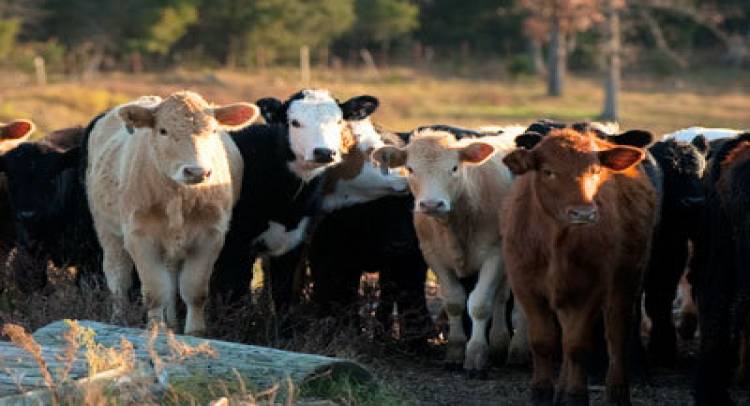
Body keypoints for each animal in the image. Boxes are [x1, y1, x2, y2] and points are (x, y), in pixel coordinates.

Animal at [86, 91, 259, 335]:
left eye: (214, 131)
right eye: (163, 130)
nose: (196, 171)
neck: (179, 197)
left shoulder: (211, 236)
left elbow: (194, 291)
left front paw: (193, 332)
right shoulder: (139, 237)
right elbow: (154, 293)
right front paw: (155, 331)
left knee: (171, 277)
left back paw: (173, 323)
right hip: (107, 230)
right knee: (118, 278)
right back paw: (118, 320)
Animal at [210, 89, 378, 307]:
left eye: (339, 121)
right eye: (295, 122)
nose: (324, 152)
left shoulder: (291, 248)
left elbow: (284, 297)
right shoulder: (235, 248)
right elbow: (234, 299)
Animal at [372, 129, 528, 375]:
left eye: (454, 168)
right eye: (410, 169)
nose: (431, 204)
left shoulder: (495, 254)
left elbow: (479, 304)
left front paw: (475, 355)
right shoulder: (434, 256)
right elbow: (454, 302)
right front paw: (455, 351)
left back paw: (518, 350)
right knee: (502, 297)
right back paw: (499, 343)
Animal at [501, 128, 658, 405]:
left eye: (595, 170)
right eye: (548, 171)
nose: (583, 213)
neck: (555, 242)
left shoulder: (591, 288)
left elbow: (577, 345)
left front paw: (576, 394)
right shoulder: (525, 287)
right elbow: (543, 341)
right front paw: (541, 391)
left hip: (625, 281)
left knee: (616, 333)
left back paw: (617, 391)